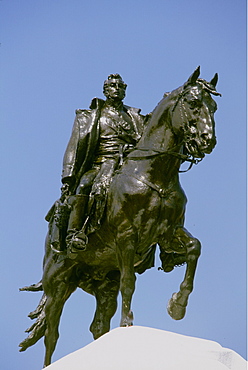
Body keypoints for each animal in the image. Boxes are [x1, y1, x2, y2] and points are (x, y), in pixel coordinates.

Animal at [20, 67, 220, 368]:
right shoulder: (127, 236)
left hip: (104, 283)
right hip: (58, 283)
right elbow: (130, 281)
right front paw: (128, 324)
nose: (207, 141)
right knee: (51, 333)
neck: (152, 175)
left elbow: (195, 249)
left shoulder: (169, 232)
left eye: (214, 107)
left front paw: (177, 305)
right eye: (194, 103)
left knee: (98, 325)